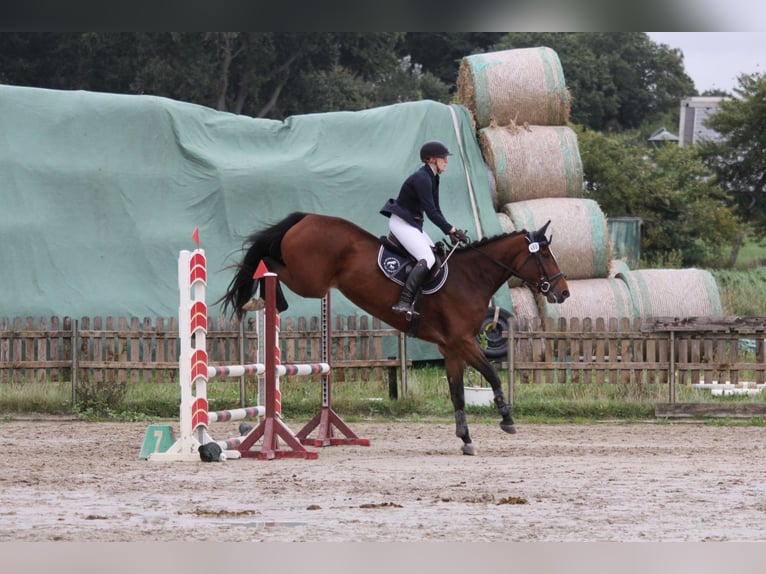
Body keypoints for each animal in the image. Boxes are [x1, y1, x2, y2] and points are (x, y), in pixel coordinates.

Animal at [218, 212, 569, 455]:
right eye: (545, 255)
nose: (563, 293)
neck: (471, 276)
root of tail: (306, 217)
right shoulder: (463, 342)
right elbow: (493, 375)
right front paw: (507, 419)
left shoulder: (451, 349)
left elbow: (457, 393)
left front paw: (466, 439)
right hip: (309, 279)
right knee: (268, 262)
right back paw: (265, 297)